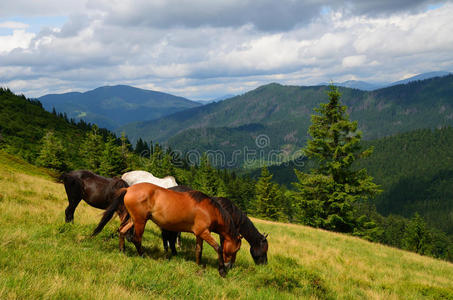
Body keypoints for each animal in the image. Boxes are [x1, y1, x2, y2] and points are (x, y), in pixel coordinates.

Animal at [91, 182, 240, 278]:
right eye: (236, 250)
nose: (230, 266)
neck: (209, 209)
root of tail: (128, 189)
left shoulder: (200, 234)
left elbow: (199, 250)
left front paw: (198, 266)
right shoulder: (204, 233)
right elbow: (218, 248)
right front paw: (222, 271)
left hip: (133, 219)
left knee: (122, 231)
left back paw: (122, 251)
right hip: (140, 221)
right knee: (136, 238)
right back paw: (143, 255)